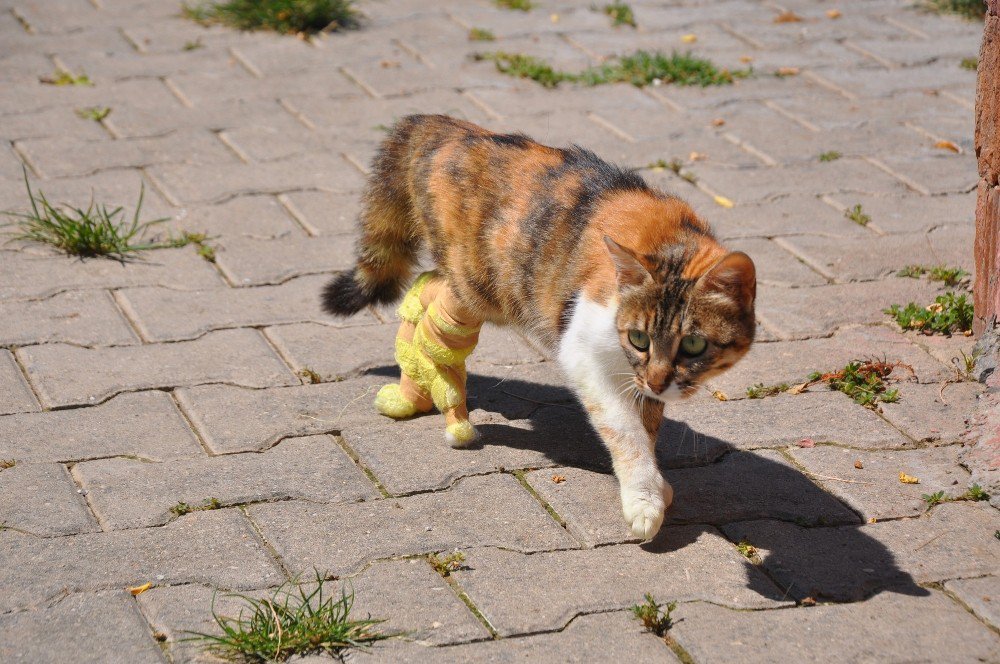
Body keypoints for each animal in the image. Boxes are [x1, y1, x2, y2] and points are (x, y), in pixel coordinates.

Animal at [324, 114, 752, 540]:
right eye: (639, 338)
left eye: (694, 345)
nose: (661, 381)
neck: (673, 245)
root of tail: (446, 126)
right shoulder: (583, 349)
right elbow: (624, 428)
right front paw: (643, 498)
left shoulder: (640, 378)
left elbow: (646, 424)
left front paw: (654, 485)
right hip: (481, 285)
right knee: (436, 320)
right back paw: (439, 398)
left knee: (425, 289)